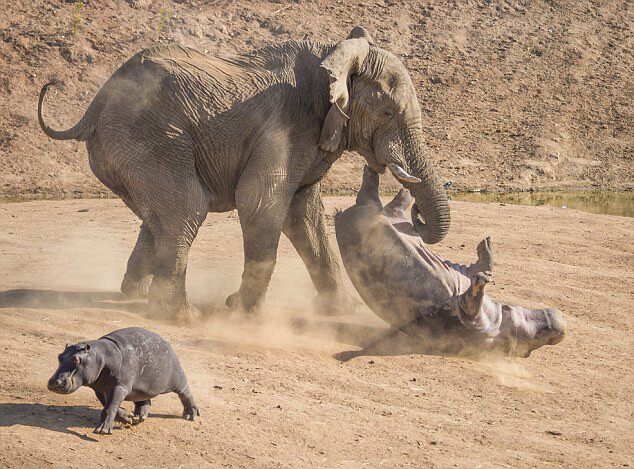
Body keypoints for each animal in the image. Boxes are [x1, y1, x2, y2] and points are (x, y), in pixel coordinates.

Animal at [37, 26, 450, 322]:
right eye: (387, 113)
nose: (416, 214)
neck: (334, 55)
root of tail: (94, 107)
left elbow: (304, 214)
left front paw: (343, 311)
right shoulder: (284, 127)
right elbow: (261, 202)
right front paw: (241, 311)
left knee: (160, 217)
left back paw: (134, 294)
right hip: (148, 139)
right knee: (186, 209)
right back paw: (181, 316)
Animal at [48, 326, 199, 432]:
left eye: (76, 360)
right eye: (59, 356)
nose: (54, 382)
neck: (100, 356)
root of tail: (166, 341)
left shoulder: (119, 386)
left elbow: (111, 406)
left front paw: (103, 430)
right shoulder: (100, 389)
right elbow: (109, 405)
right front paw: (129, 418)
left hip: (177, 377)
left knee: (185, 392)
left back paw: (191, 415)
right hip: (141, 388)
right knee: (144, 400)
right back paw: (140, 416)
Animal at [334, 166, 564, 356]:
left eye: (532, 344)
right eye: (538, 339)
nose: (560, 328)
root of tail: (341, 216)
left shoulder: (470, 318)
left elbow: (471, 301)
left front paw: (482, 279)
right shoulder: (468, 280)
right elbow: (481, 267)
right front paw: (486, 251)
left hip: (374, 211)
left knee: (382, 195)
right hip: (384, 215)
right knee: (392, 197)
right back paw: (442, 185)